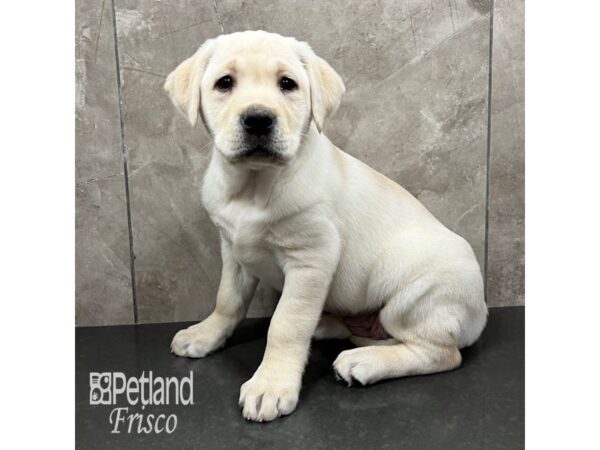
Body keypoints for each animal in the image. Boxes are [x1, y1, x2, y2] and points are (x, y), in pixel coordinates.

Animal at [164, 29, 488, 420]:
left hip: (415, 296)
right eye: (224, 83)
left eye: (287, 84)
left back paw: (364, 362)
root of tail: (481, 310)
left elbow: (286, 324)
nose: (258, 119)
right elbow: (228, 300)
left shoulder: (311, 259)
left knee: (440, 352)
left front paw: (271, 384)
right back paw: (325, 326)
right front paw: (205, 335)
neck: (254, 185)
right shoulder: (233, 251)